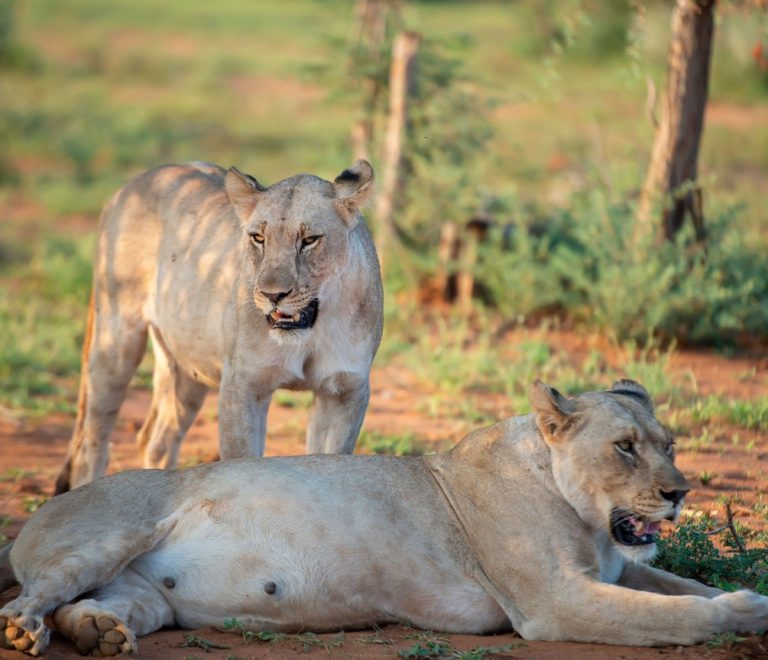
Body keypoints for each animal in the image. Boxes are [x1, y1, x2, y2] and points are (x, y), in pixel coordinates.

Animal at [2, 379, 767, 655]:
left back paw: (100, 635)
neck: (584, 516)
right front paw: (743, 611)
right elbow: (677, 615)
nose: (679, 493)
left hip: (147, 596)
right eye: (625, 447)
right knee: (29, 599)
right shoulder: (553, 601)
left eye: (669, 446)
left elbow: (678, 587)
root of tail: (43, 509)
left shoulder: (609, 571)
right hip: (108, 536)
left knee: (97, 607)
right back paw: (25, 633)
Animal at [54, 159, 383, 494]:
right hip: (116, 340)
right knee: (91, 443)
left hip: (187, 365)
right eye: (258, 238)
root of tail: (132, 183)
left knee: (157, 440)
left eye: (309, 240)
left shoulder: (344, 391)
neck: (313, 329)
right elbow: (244, 464)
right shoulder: (243, 385)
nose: (272, 295)